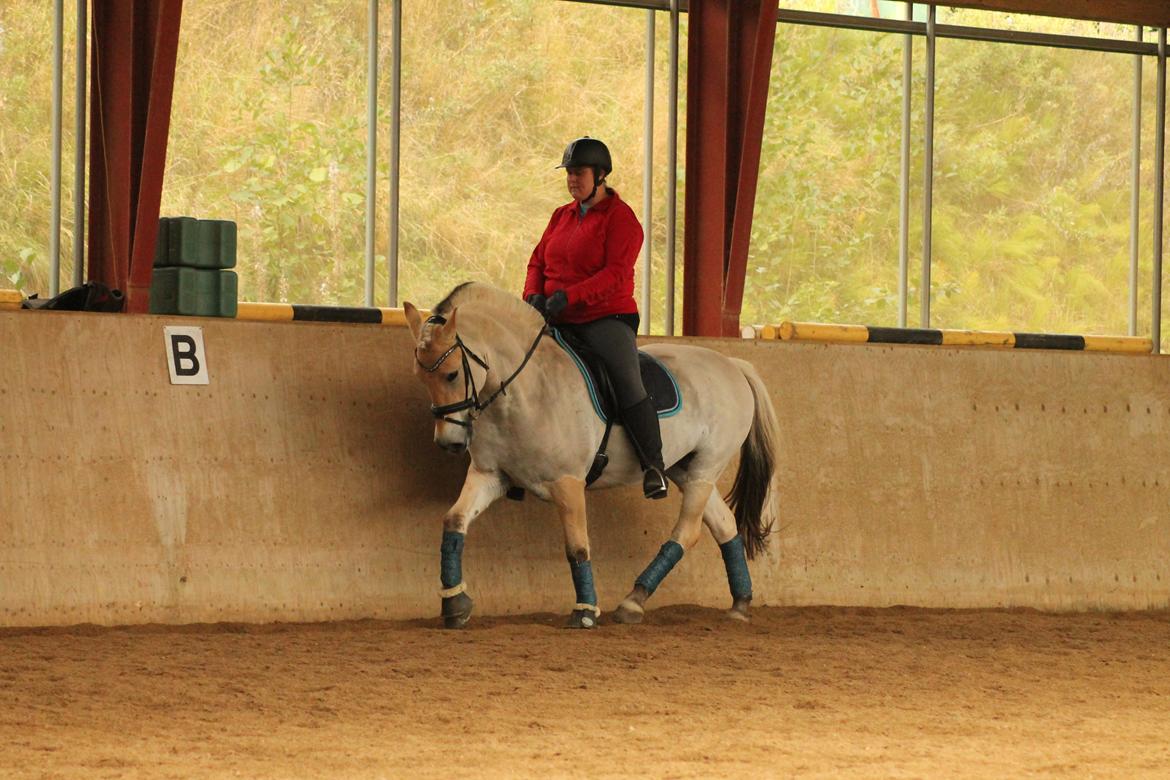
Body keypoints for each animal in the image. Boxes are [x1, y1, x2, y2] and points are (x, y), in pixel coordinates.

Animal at [407, 281, 781, 626]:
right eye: (420, 378)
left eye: (452, 374)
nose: (449, 442)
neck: (527, 391)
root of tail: (731, 364)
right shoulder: (490, 475)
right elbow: (455, 520)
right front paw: (455, 604)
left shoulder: (567, 482)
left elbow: (577, 545)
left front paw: (585, 611)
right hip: (685, 469)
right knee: (724, 524)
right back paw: (739, 604)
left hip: (706, 466)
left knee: (687, 532)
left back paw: (633, 602)